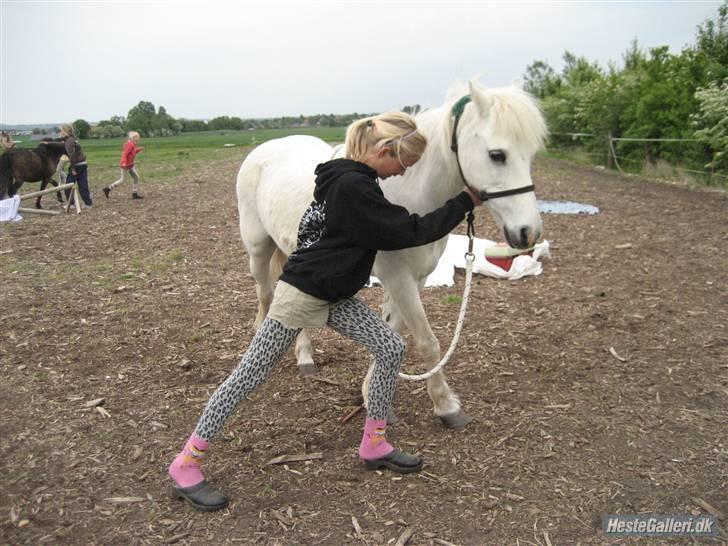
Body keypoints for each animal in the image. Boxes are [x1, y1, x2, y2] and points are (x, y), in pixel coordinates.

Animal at [235, 81, 544, 428]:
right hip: (258, 249)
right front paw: (446, 406)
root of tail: (265, 149)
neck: (411, 194)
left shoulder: (416, 278)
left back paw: (304, 355)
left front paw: (372, 393)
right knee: (265, 294)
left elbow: (394, 331)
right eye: (497, 155)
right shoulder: (399, 278)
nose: (529, 233)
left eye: (530, 154)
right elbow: (427, 342)